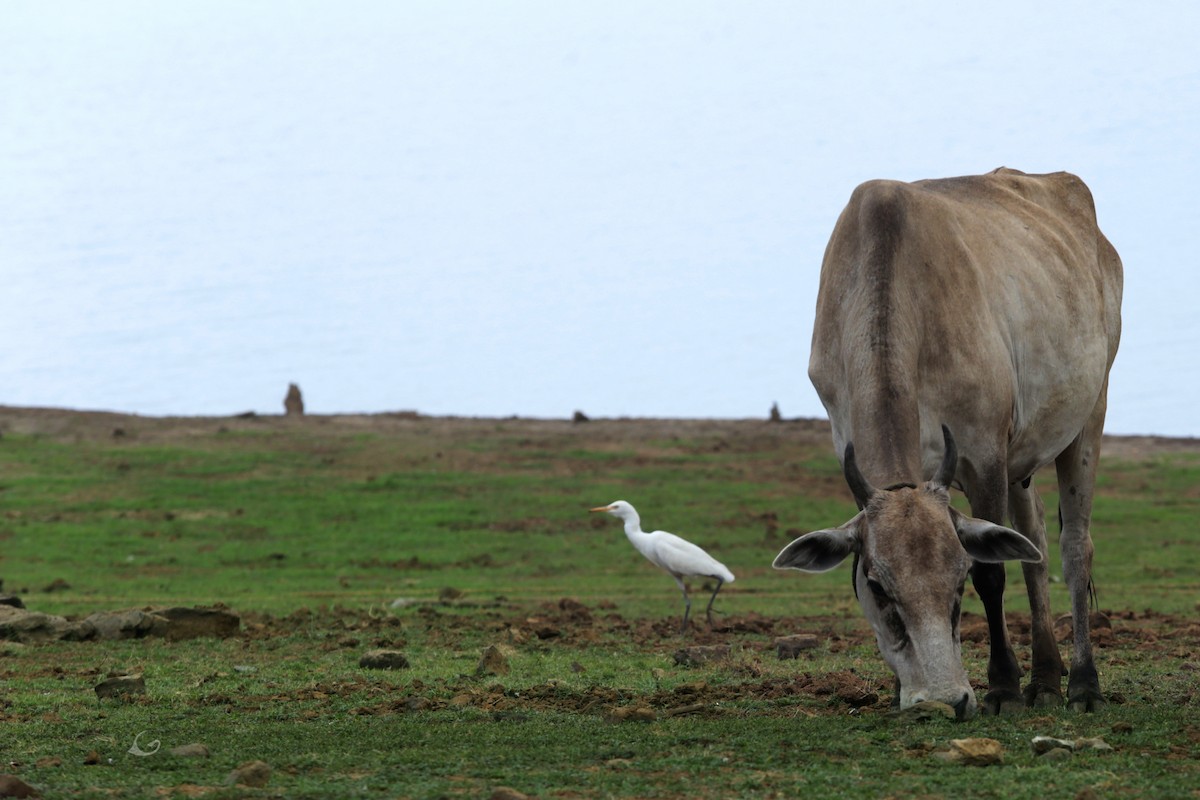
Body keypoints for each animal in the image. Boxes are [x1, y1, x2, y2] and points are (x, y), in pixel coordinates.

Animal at [772, 169, 1118, 719]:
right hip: (1022, 457)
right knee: (1035, 542)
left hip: (1089, 415)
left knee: (1073, 547)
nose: (943, 699)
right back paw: (1045, 676)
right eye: (877, 585)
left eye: (958, 581)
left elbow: (992, 575)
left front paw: (1003, 687)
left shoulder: (983, 455)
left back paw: (1083, 683)